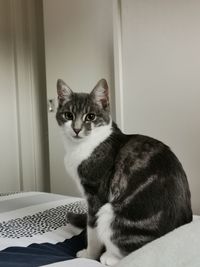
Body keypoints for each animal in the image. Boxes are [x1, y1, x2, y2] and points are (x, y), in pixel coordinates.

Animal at [55, 78, 192, 266]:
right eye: (68, 115)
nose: (76, 129)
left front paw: (89, 255)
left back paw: (108, 257)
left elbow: (92, 229)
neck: (82, 147)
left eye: (90, 116)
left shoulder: (96, 194)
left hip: (110, 213)